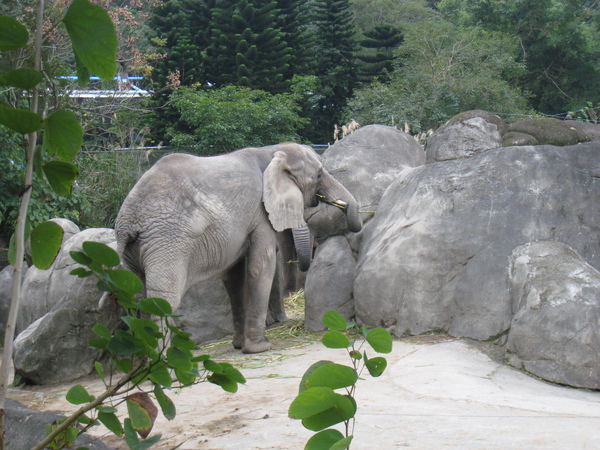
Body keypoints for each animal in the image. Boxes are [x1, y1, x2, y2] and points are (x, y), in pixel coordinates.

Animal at [116, 142, 360, 354]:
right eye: (318, 175)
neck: (272, 150)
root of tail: (128, 221)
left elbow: (233, 277)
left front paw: (239, 345)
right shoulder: (260, 213)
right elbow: (261, 266)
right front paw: (259, 348)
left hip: (133, 250)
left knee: (137, 297)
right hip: (167, 241)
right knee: (162, 300)